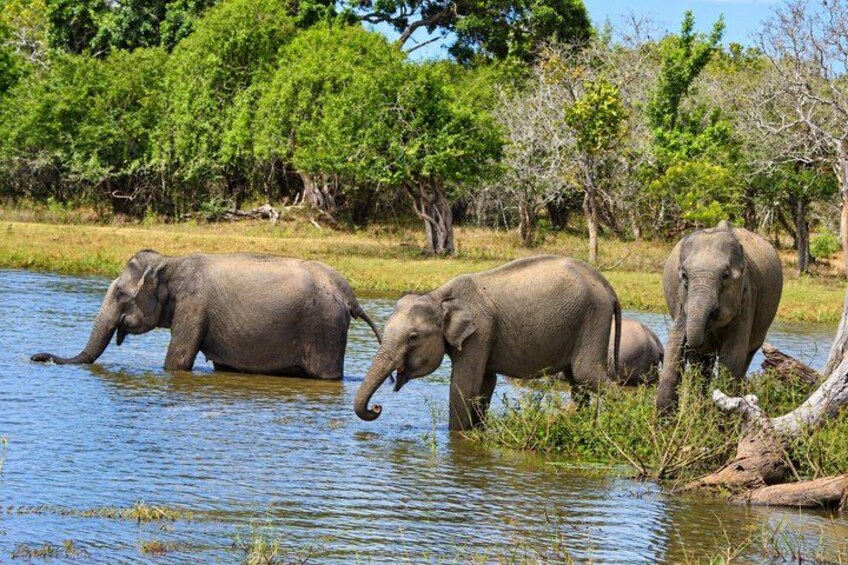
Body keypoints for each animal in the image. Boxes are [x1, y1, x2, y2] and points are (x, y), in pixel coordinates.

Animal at [31, 250, 382, 378]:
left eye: (119, 294)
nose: (36, 357)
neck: (171, 262)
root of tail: (350, 296)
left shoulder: (194, 307)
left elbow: (177, 362)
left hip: (324, 330)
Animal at [354, 255, 622, 431]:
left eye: (413, 337)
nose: (377, 407)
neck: (438, 296)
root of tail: (605, 283)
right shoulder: (484, 337)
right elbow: (485, 383)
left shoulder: (480, 331)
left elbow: (464, 387)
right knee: (577, 382)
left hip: (594, 316)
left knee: (586, 374)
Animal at [656, 220, 783, 413]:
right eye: (684, 276)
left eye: (726, 275)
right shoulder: (680, 301)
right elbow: (674, 341)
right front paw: (666, 419)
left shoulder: (746, 296)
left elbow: (733, 354)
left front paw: (721, 413)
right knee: (701, 363)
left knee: (745, 356)